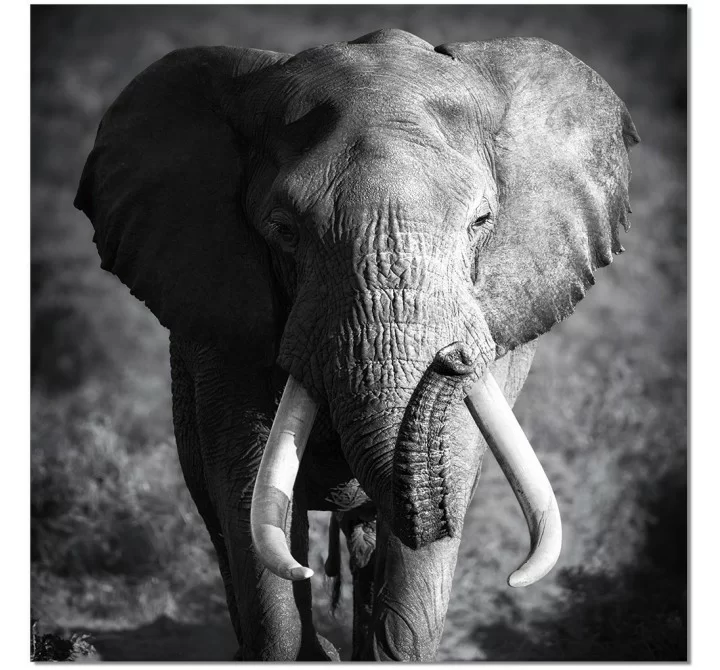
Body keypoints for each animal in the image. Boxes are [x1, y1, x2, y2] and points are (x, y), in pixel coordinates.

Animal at [74, 29, 639, 661]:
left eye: (482, 221)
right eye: (284, 230)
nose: (453, 357)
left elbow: (450, 470)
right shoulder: (220, 321)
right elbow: (249, 486)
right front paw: (301, 648)